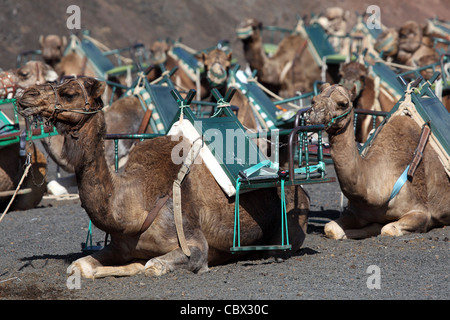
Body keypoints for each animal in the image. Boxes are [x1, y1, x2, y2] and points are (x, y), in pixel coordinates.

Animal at [18, 77, 312, 278]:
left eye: (69, 93)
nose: (25, 95)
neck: (134, 202)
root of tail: (302, 192)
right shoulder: (118, 246)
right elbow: (79, 266)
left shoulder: (194, 244)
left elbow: (151, 265)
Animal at [306, 84, 450, 239]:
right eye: (313, 100)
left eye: (343, 103)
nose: (315, 112)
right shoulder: (357, 212)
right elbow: (331, 228)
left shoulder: (420, 211)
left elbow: (387, 229)